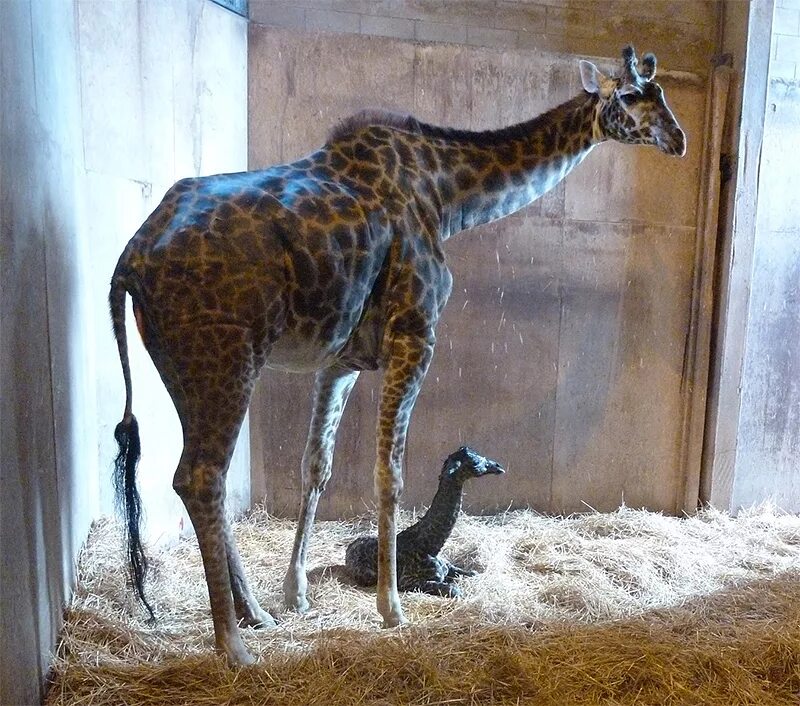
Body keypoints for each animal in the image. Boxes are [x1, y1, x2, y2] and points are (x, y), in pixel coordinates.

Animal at [346, 446, 506, 592]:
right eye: (475, 463)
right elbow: (454, 590)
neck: (431, 547)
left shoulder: (448, 566)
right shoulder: (407, 581)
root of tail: (349, 547)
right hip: (368, 576)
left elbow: (472, 573)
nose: (499, 466)